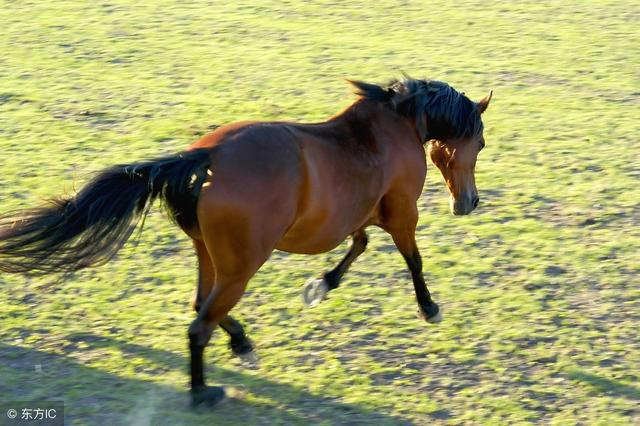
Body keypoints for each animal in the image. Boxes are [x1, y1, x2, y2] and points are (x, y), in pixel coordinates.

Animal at [0, 75, 492, 406]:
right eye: (482, 143)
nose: (470, 202)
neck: (394, 128)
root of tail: (205, 155)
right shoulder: (402, 213)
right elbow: (412, 259)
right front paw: (429, 307)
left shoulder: (362, 214)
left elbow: (359, 246)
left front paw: (321, 285)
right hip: (242, 265)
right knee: (201, 322)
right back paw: (203, 392)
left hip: (211, 256)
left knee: (202, 305)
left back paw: (239, 343)